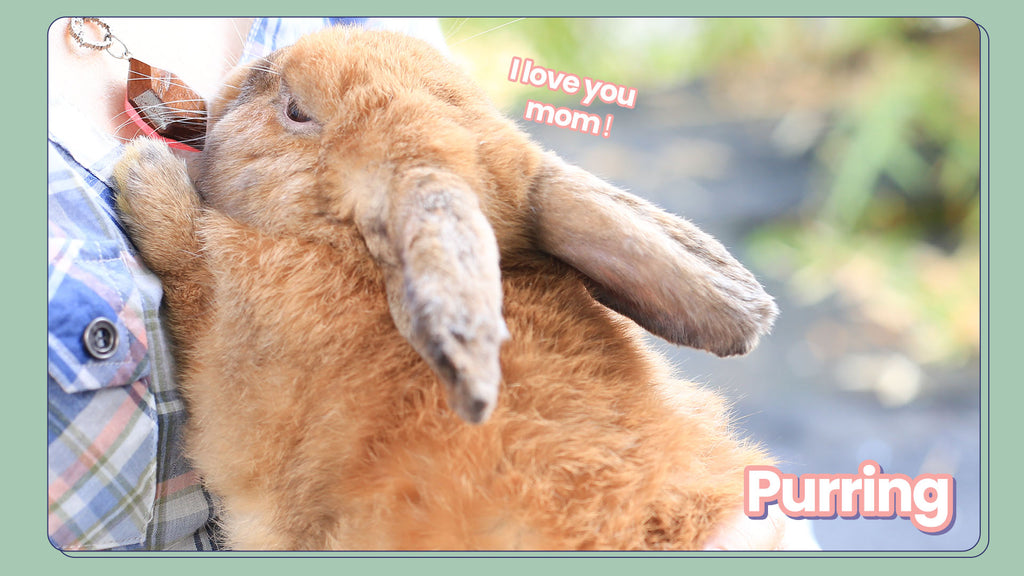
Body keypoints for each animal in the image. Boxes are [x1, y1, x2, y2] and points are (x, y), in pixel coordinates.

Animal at [112, 25, 778, 545]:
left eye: (296, 111)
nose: (257, 66)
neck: (351, 258)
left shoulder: (232, 350)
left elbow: (195, 259)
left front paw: (145, 175)